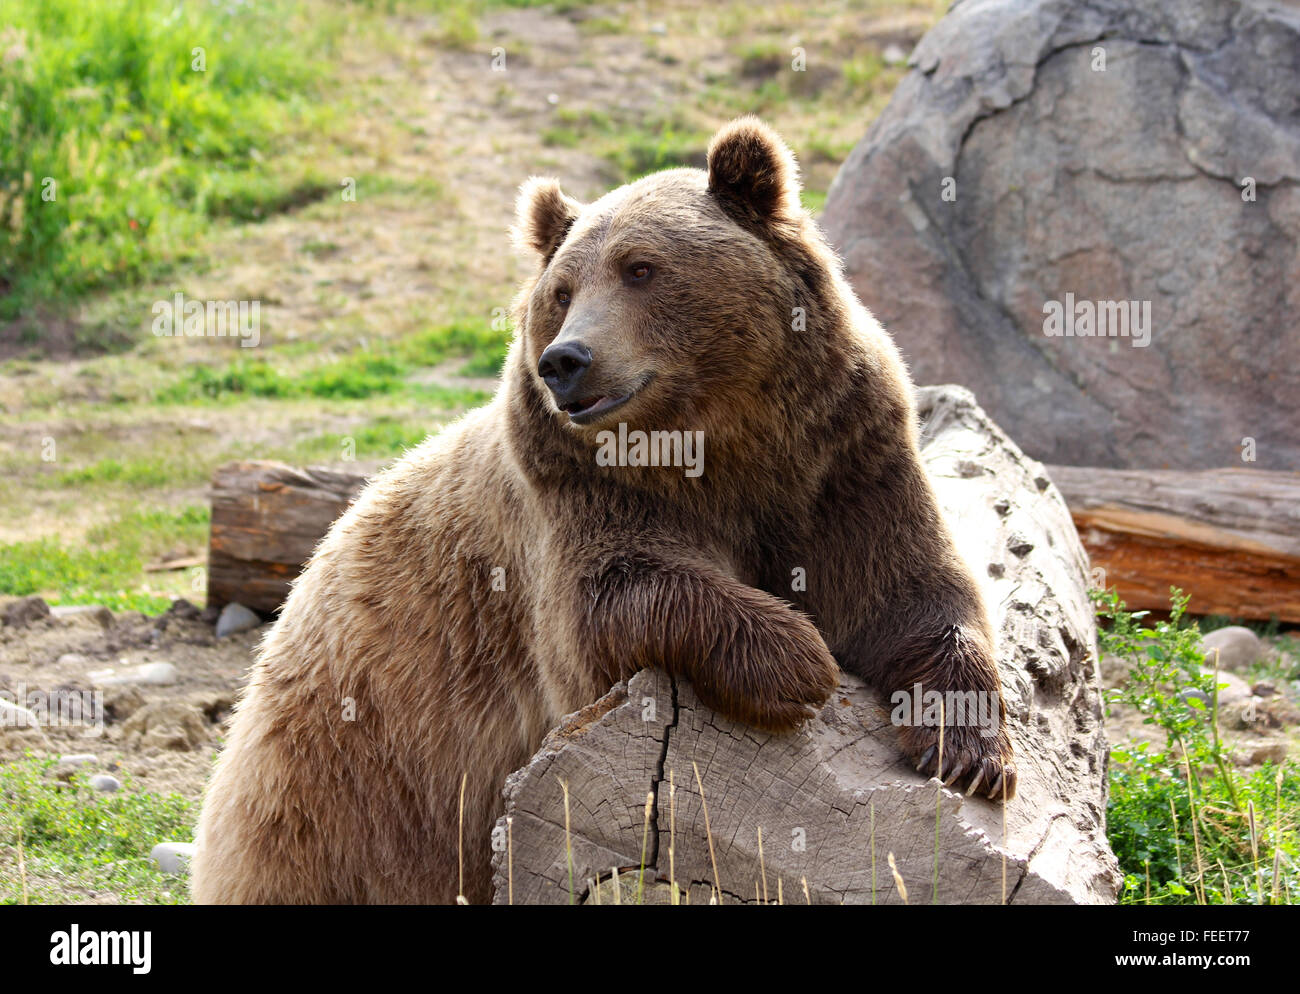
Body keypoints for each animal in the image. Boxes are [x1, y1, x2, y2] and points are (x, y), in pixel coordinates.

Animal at [189, 118, 1013, 909]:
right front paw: (797, 659)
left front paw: (969, 754)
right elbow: (610, 602)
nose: (565, 360)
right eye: (560, 290)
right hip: (346, 781)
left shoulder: (843, 464)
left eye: (641, 268)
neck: (721, 444)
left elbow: (909, 592)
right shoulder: (576, 496)